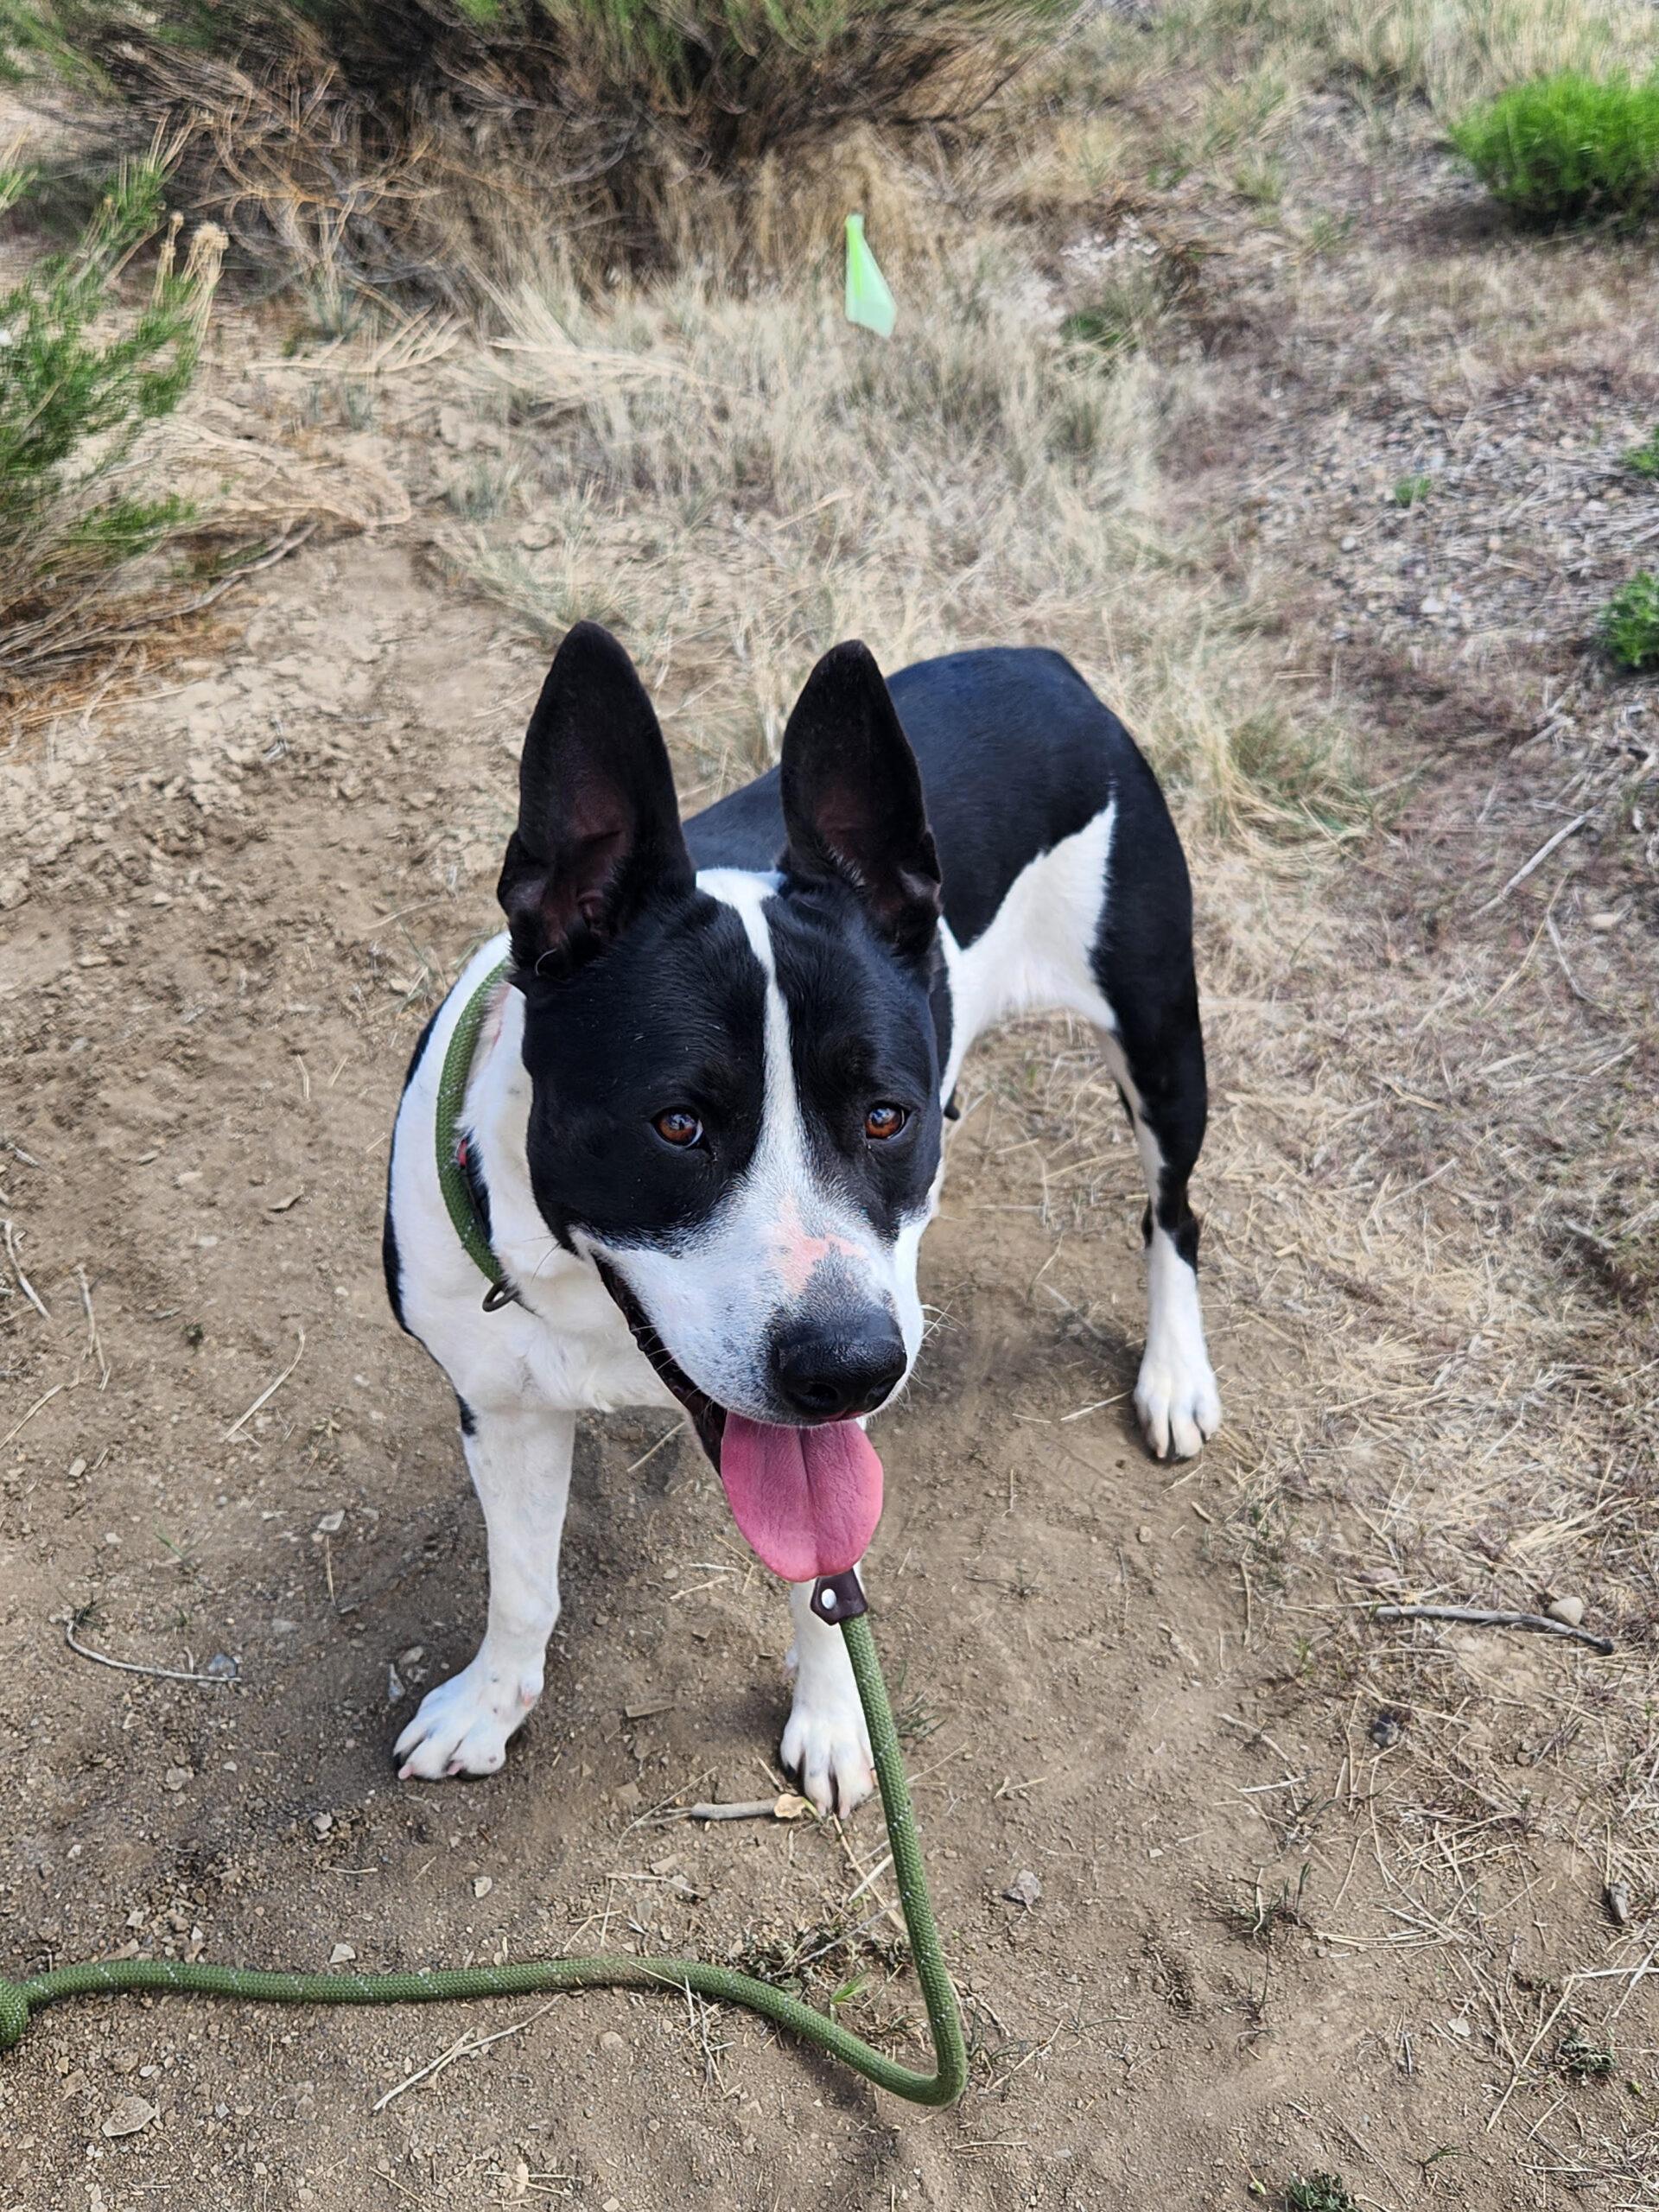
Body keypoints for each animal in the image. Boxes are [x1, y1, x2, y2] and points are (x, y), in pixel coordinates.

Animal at [387, 623, 1221, 1814]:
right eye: (677, 1123)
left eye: (883, 1115)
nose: (851, 1367)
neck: (589, 1300)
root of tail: (1041, 659)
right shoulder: (500, 1406)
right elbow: (521, 1585)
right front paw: (490, 1705)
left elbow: (826, 1582)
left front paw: (833, 1719)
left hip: (1158, 1035)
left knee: (1174, 1212)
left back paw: (1175, 1375)